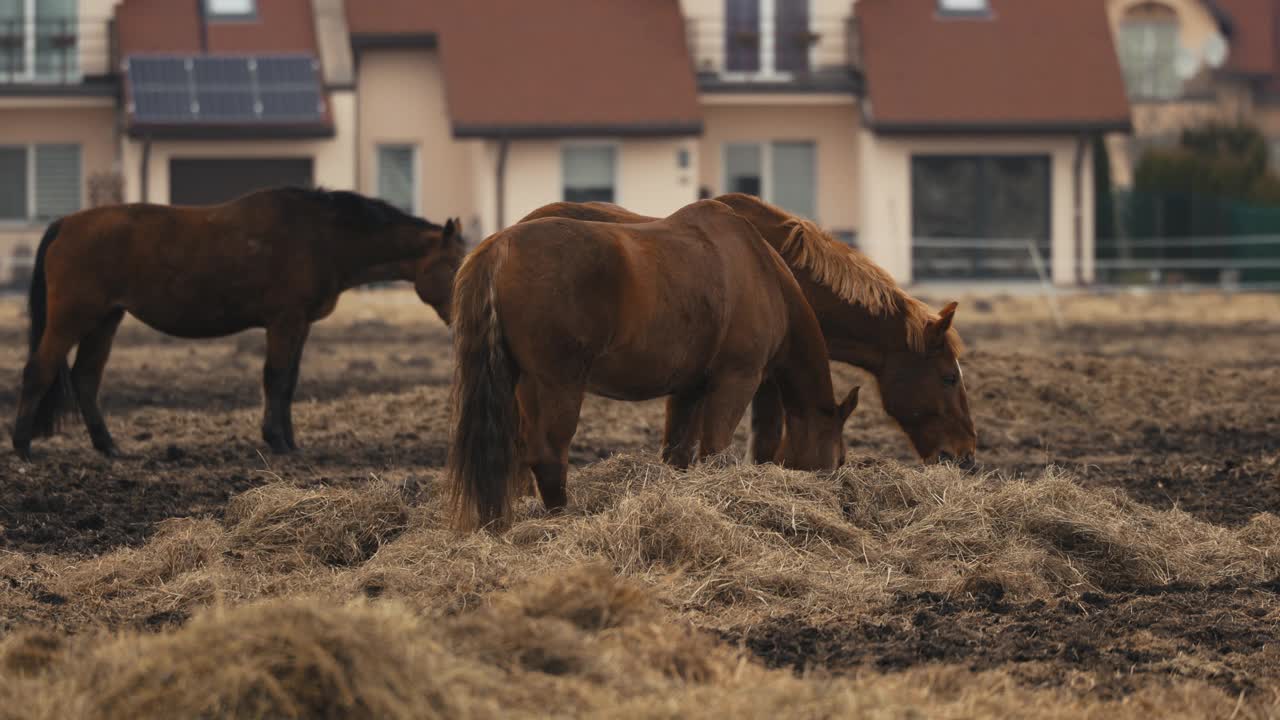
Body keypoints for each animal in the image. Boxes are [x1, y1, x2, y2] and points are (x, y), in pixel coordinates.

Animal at [13, 183, 465, 453]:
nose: (461, 317)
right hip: (72, 318)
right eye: (454, 264)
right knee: (39, 370)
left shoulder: (300, 325)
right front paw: (276, 440)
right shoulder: (284, 321)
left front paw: (289, 441)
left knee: (86, 378)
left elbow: (289, 382)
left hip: (105, 319)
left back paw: (108, 446)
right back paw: (21, 445)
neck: (321, 235)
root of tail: (65, 224)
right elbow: (275, 378)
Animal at [450, 198, 860, 530]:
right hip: (556, 384)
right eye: (839, 459)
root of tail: (498, 248)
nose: (840, 503)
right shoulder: (736, 380)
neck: (761, 272)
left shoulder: (690, 389)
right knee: (547, 453)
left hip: (520, 383)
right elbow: (713, 450)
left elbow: (677, 453)